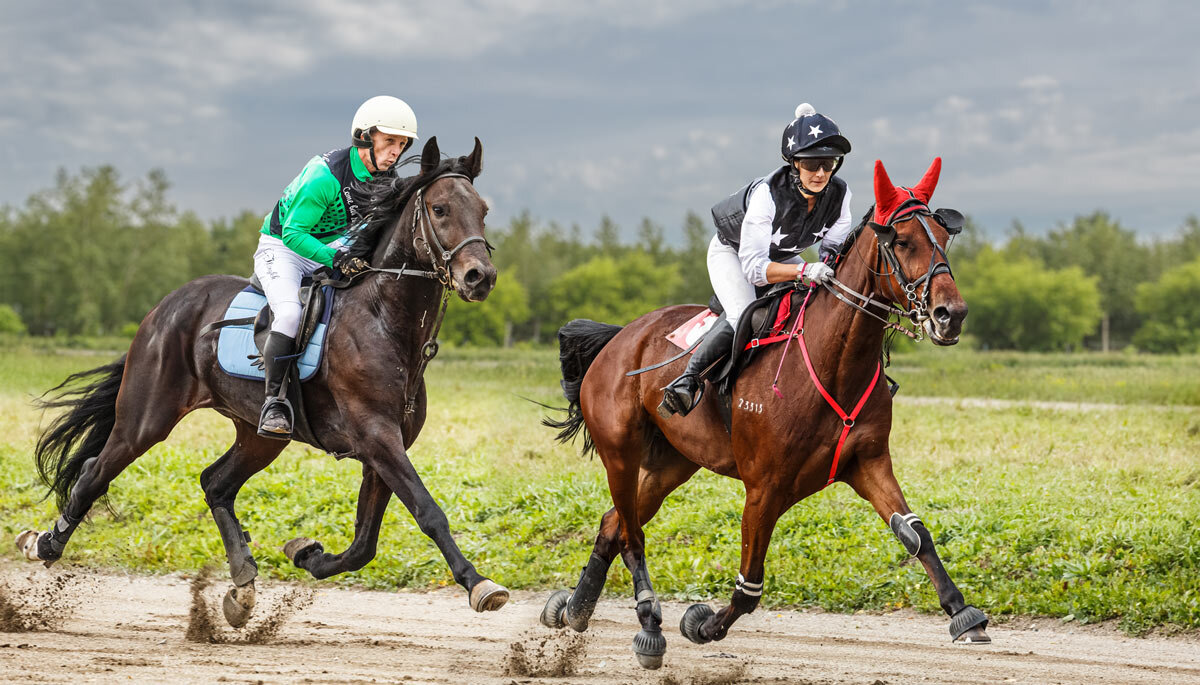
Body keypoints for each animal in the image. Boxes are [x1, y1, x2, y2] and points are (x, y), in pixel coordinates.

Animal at [16, 136, 511, 628]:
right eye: (440, 209)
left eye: (483, 210)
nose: (479, 277)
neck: (385, 322)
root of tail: (162, 309)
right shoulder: (377, 438)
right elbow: (428, 512)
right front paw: (479, 584)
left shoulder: (387, 448)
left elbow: (363, 545)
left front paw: (306, 553)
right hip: (146, 419)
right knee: (93, 472)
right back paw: (43, 543)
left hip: (259, 435)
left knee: (215, 483)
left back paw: (242, 585)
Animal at [540, 158, 988, 667]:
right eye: (903, 241)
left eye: (944, 236)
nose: (951, 314)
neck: (835, 363)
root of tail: (618, 339)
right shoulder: (764, 489)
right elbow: (749, 587)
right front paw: (702, 624)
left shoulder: (868, 462)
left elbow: (916, 534)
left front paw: (963, 613)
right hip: (620, 451)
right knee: (632, 536)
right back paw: (649, 625)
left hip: (671, 463)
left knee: (612, 524)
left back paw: (574, 609)